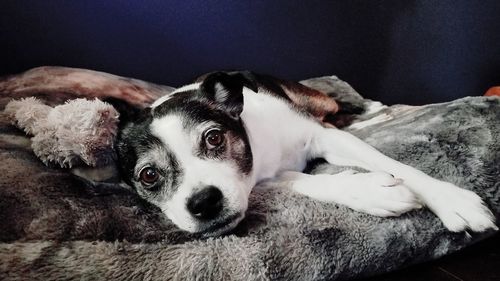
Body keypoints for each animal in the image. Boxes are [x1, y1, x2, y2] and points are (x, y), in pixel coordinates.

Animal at [116, 71, 496, 235]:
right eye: (148, 175)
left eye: (213, 138)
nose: (204, 202)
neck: (260, 143)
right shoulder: (260, 180)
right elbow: (307, 182)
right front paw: (370, 190)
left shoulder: (324, 138)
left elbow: (392, 163)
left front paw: (451, 200)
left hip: (318, 101)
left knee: (341, 110)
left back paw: (373, 113)